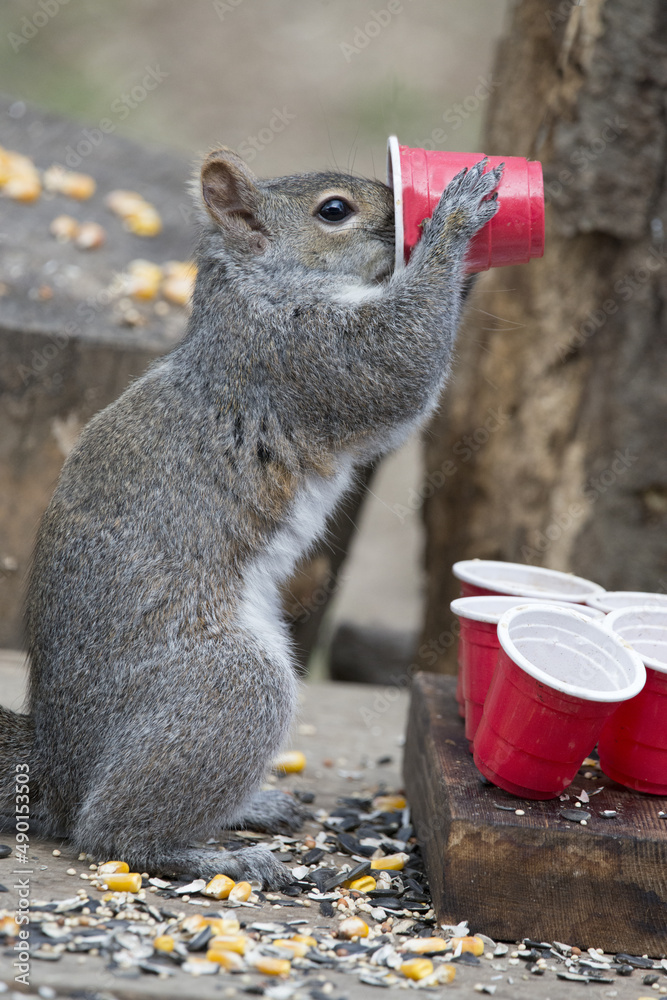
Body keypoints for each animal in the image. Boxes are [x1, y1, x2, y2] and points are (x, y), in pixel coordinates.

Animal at [0, 146, 500, 884]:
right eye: (333, 211)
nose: (403, 212)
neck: (253, 289)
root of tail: (58, 771)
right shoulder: (303, 357)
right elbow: (398, 365)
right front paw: (456, 221)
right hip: (230, 688)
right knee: (110, 833)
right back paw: (213, 855)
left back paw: (251, 808)